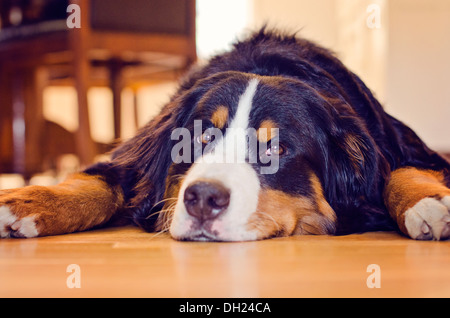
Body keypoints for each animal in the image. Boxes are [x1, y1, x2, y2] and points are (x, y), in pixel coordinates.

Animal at [2, 29, 450, 241]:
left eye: (276, 148)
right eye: (199, 139)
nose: (203, 199)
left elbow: (399, 170)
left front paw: (428, 205)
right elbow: (97, 182)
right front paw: (25, 203)